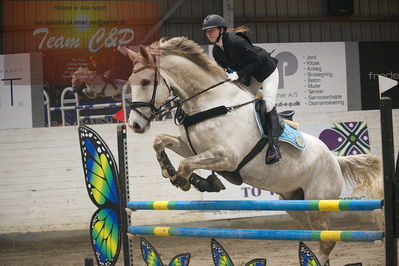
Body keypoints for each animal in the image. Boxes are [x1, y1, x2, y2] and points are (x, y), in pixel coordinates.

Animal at [125, 37, 384, 264]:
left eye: (146, 82)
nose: (134, 125)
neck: (209, 102)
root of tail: (334, 160)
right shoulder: (190, 147)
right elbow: (160, 141)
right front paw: (172, 172)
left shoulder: (226, 158)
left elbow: (186, 165)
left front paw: (189, 181)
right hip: (295, 202)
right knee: (318, 236)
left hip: (317, 202)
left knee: (327, 240)